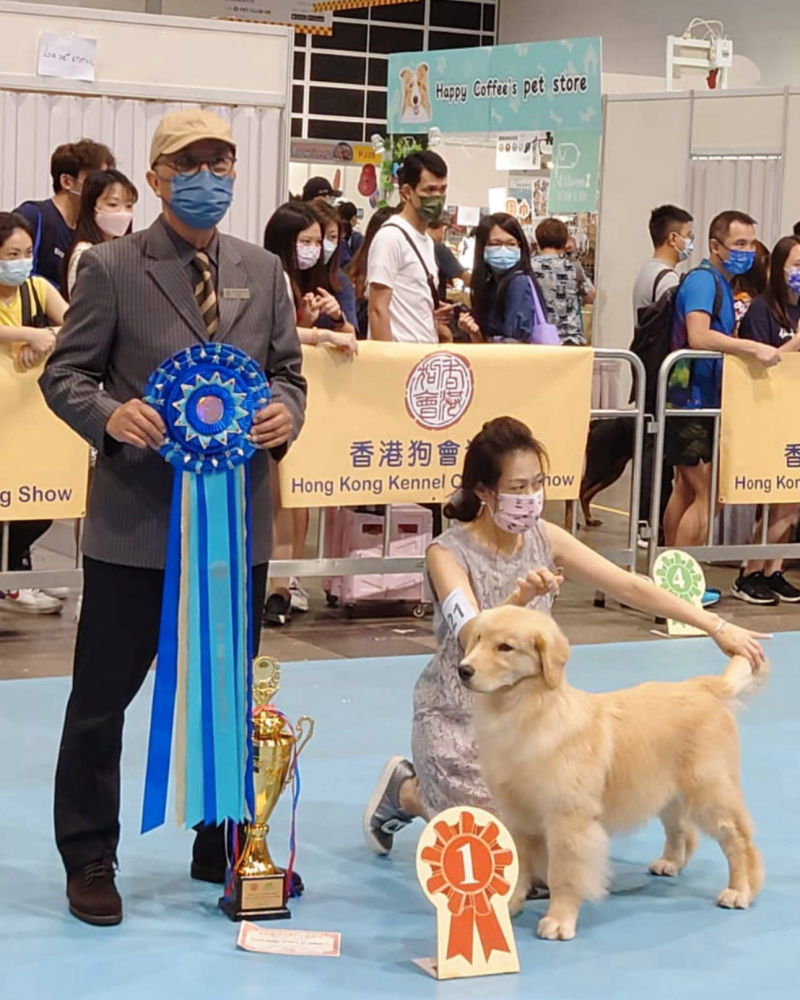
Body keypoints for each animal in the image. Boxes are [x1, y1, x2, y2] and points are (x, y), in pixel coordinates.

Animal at [460, 604, 764, 940]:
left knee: (738, 841)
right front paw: (510, 906)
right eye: (477, 639)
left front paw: (559, 921)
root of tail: (705, 686)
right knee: (682, 830)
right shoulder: (517, 816)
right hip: (666, 792)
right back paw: (670, 862)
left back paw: (739, 891)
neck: (527, 713)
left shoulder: (569, 820)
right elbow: (518, 866)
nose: (463, 670)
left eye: (505, 647)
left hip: (711, 792)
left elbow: (564, 874)